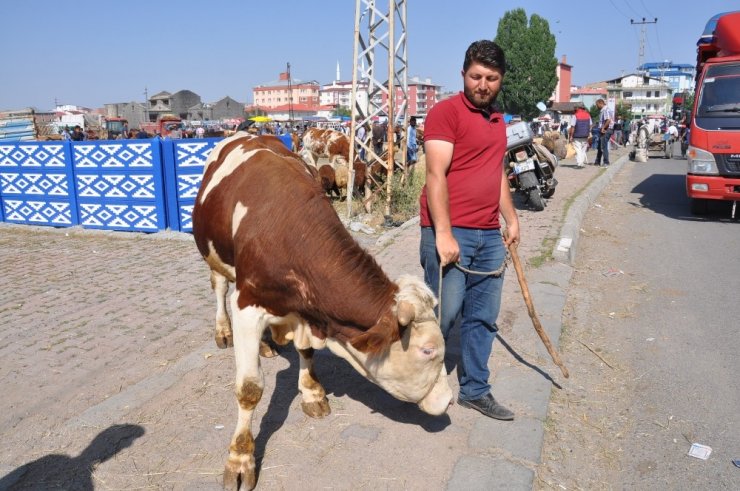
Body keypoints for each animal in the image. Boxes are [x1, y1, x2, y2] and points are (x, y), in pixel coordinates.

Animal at [192, 133, 450, 490]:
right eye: (428, 351)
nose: (450, 399)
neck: (291, 231)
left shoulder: (307, 314)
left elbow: (306, 352)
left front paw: (312, 393)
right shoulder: (247, 306)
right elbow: (249, 389)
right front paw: (240, 460)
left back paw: (266, 344)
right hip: (214, 256)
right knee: (218, 287)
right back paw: (223, 331)